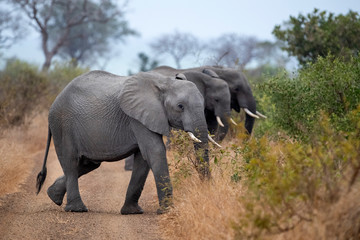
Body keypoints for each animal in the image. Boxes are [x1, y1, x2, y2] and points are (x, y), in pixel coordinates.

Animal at [35, 70, 210, 215]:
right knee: (71, 162)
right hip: (63, 125)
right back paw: (77, 209)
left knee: (88, 164)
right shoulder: (137, 117)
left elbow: (143, 159)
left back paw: (52, 196)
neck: (165, 82)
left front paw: (132, 212)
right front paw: (167, 211)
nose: (205, 190)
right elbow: (155, 151)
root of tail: (54, 102)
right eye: (180, 106)